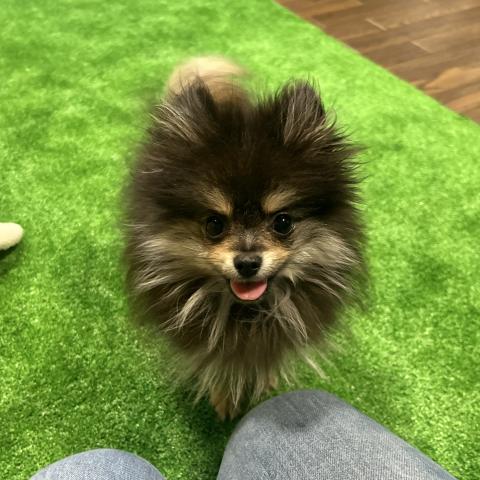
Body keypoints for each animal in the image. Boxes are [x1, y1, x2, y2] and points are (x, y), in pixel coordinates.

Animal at [124, 57, 364, 419]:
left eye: (282, 222)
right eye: (214, 224)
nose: (248, 262)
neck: (247, 311)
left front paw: (264, 383)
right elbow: (217, 365)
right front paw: (224, 398)